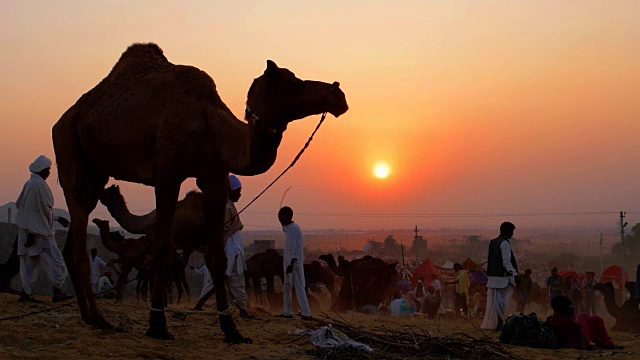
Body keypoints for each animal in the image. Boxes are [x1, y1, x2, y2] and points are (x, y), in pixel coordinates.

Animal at [52, 43, 348, 344]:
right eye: (295, 83)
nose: (338, 94)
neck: (209, 121)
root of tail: (63, 118)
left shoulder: (214, 178)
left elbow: (218, 257)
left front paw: (232, 330)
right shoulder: (167, 174)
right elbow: (162, 250)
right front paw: (157, 325)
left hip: (96, 172)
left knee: (74, 236)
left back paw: (89, 316)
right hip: (67, 142)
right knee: (78, 224)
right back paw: (101, 319)